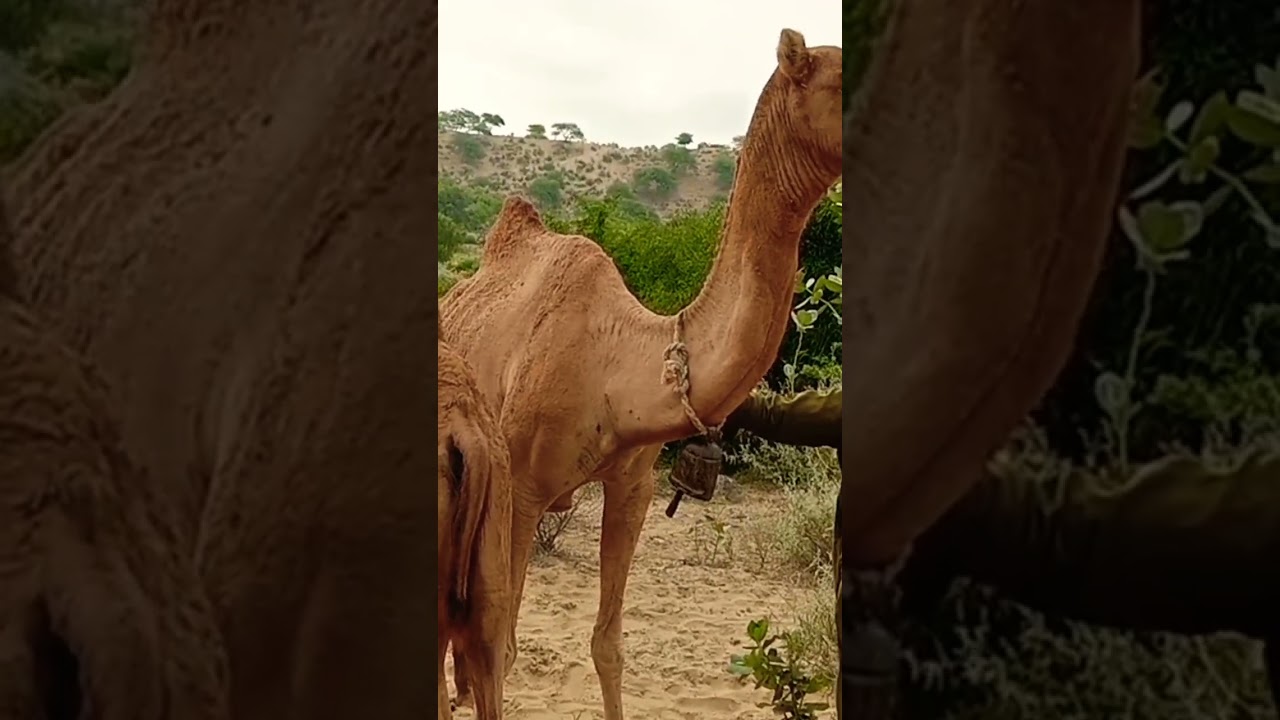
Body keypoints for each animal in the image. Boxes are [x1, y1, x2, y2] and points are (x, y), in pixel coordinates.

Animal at [440, 29, 842, 720]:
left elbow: (609, 645)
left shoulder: (633, 487)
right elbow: (505, 652)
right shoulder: (520, 491)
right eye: (841, 80)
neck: (617, 365)